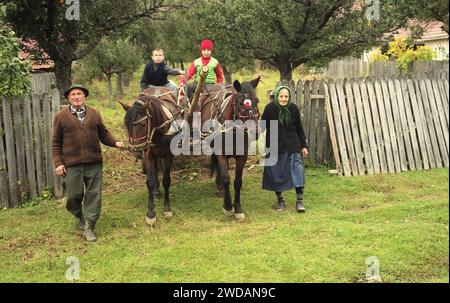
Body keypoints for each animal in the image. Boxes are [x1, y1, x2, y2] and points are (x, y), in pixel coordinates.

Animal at [120, 86, 184, 227]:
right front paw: (150, 213)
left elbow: (167, 180)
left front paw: (167, 209)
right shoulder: (148, 154)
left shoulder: (169, 155)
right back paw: (156, 189)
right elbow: (149, 181)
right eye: (126, 125)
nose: (136, 151)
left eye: (143, 125)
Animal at [200, 76, 262, 220]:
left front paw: (238, 208)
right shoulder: (221, 153)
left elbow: (238, 181)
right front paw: (228, 206)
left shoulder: (242, 156)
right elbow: (226, 178)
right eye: (240, 103)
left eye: (257, 100)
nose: (255, 132)